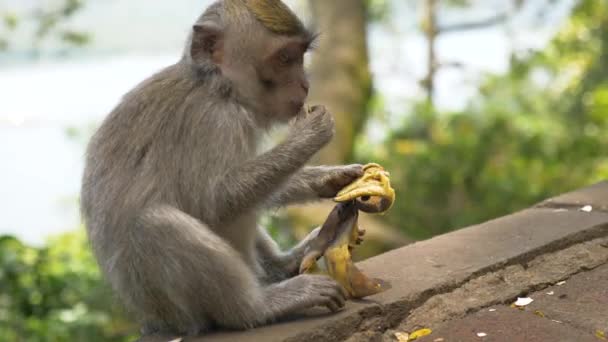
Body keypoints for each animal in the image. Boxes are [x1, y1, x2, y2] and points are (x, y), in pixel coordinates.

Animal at [81, 0, 366, 336]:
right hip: (171, 309)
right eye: (285, 58)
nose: (305, 84)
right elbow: (215, 201)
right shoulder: (213, 121)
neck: (219, 87)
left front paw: (329, 177)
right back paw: (258, 306)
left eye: (299, 55)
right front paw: (310, 135)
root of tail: (153, 322)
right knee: (155, 223)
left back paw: (286, 263)